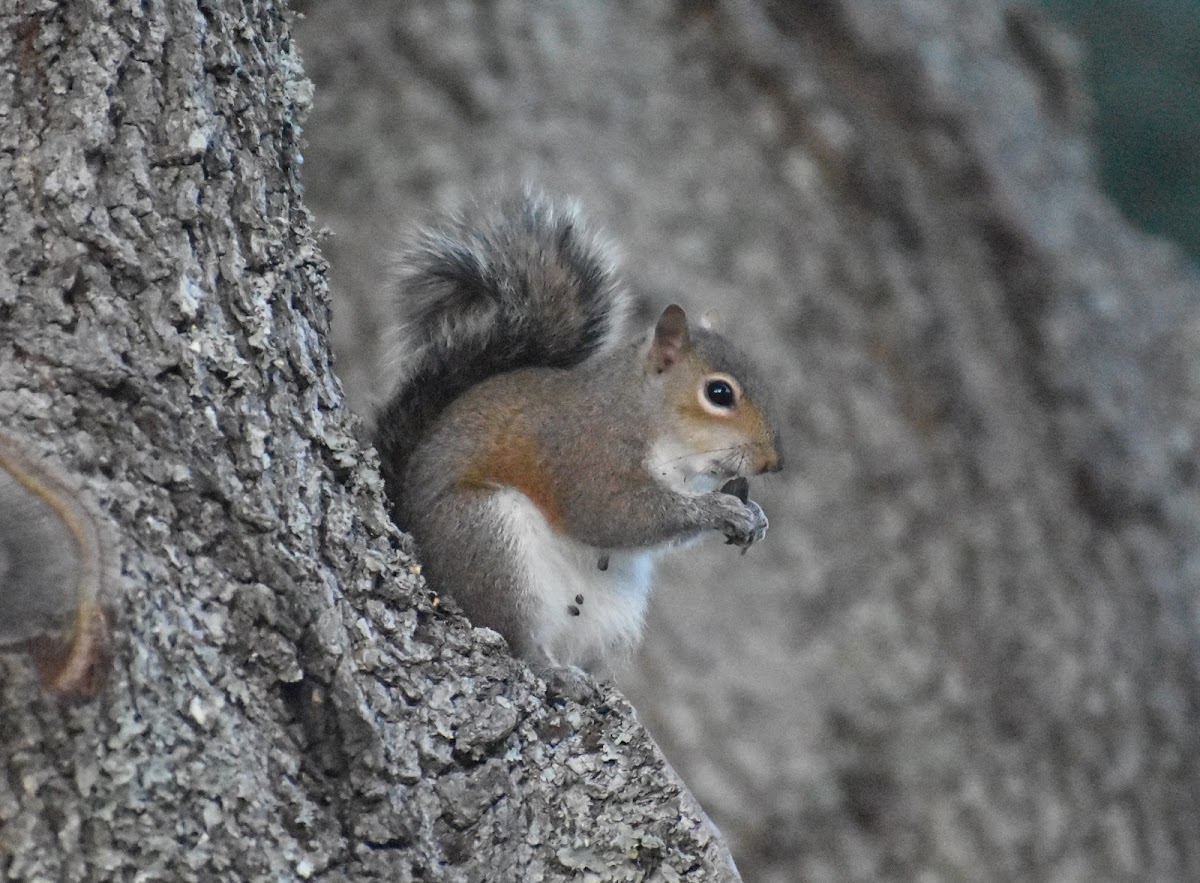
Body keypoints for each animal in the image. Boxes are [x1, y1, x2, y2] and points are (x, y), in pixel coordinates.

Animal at [379, 193, 782, 671]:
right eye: (719, 393)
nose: (774, 463)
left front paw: (754, 515)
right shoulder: (584, 449)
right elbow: (609, 513)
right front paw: (721, 510)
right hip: (488, 541)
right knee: (514, 637)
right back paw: (553, 672)